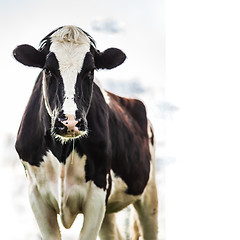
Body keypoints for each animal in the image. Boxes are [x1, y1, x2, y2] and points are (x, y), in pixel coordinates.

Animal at [14, 25, 158, 240]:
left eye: (90, 71)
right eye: (48, 70)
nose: (70, 121)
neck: (62, 153)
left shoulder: (97, 193)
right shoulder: (36, 195)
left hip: (149, 194)